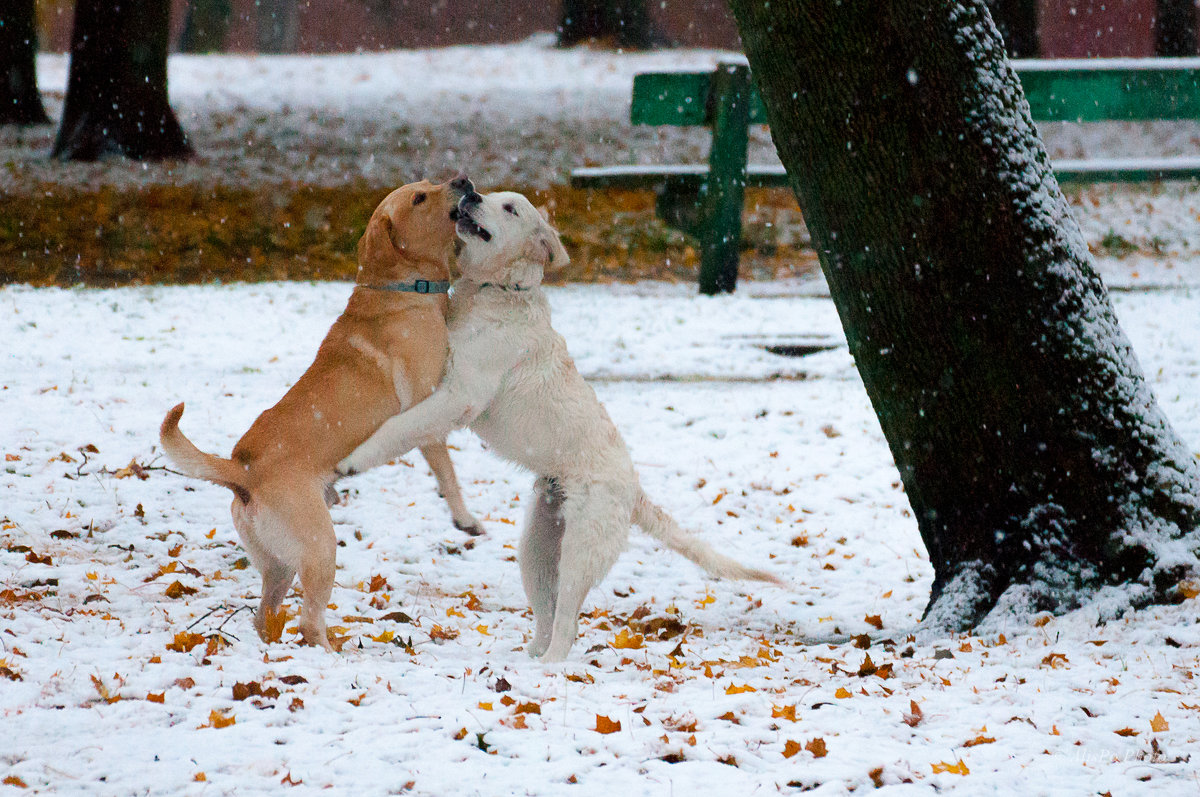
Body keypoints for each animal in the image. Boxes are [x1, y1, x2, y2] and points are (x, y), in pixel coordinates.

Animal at [159, 177, 482, 652]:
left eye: (429, 182)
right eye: (420, 197)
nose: (463, 180)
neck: (402, 291)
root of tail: (242, 471)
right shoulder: (427, 411)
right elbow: (448, 471)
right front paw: (465, 518)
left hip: (280, 563)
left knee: (265, 616)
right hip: (320, 548)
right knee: (309, 622)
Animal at [343, 188, 782, 657]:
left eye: (510, 208)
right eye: (489, 194)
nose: (472, 193)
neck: (495, 290)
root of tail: (635, 491)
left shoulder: (461, 396)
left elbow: (398, 428)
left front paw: (353, 460)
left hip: (579, 549)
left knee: (568, 624)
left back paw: (551, 666)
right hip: (536, 547)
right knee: (547, 617)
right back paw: (529, 659)